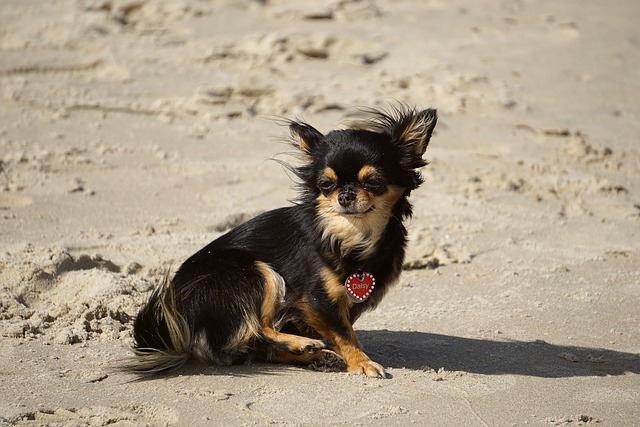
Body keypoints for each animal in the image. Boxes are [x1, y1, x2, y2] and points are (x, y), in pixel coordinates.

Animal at [124, 105, 436, 380]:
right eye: (326, 185)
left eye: (373, 182)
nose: (345, 195)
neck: (354, 235)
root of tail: (176, 313)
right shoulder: (316, 300)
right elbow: (345, 334)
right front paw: (362, 362)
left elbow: (341, 330)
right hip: (255, 272)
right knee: (256, 329)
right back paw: (302, 345)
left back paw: (314, 356)